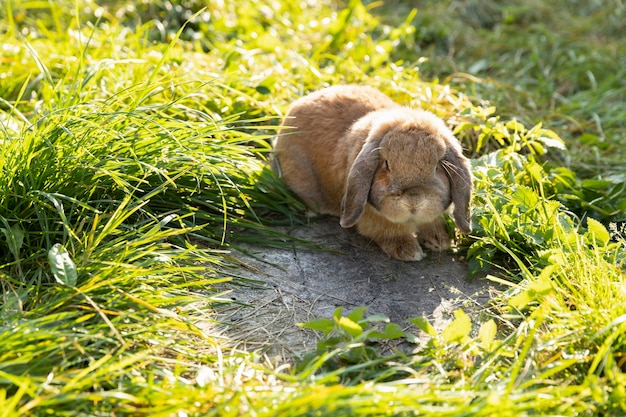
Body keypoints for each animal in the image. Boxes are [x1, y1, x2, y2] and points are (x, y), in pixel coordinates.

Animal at [270, 84, 470, 260]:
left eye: (437, 166)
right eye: (387, 164)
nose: (413, 200)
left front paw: (440, 242)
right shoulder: (373, 218)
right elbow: (388, 231)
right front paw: (409, 252)